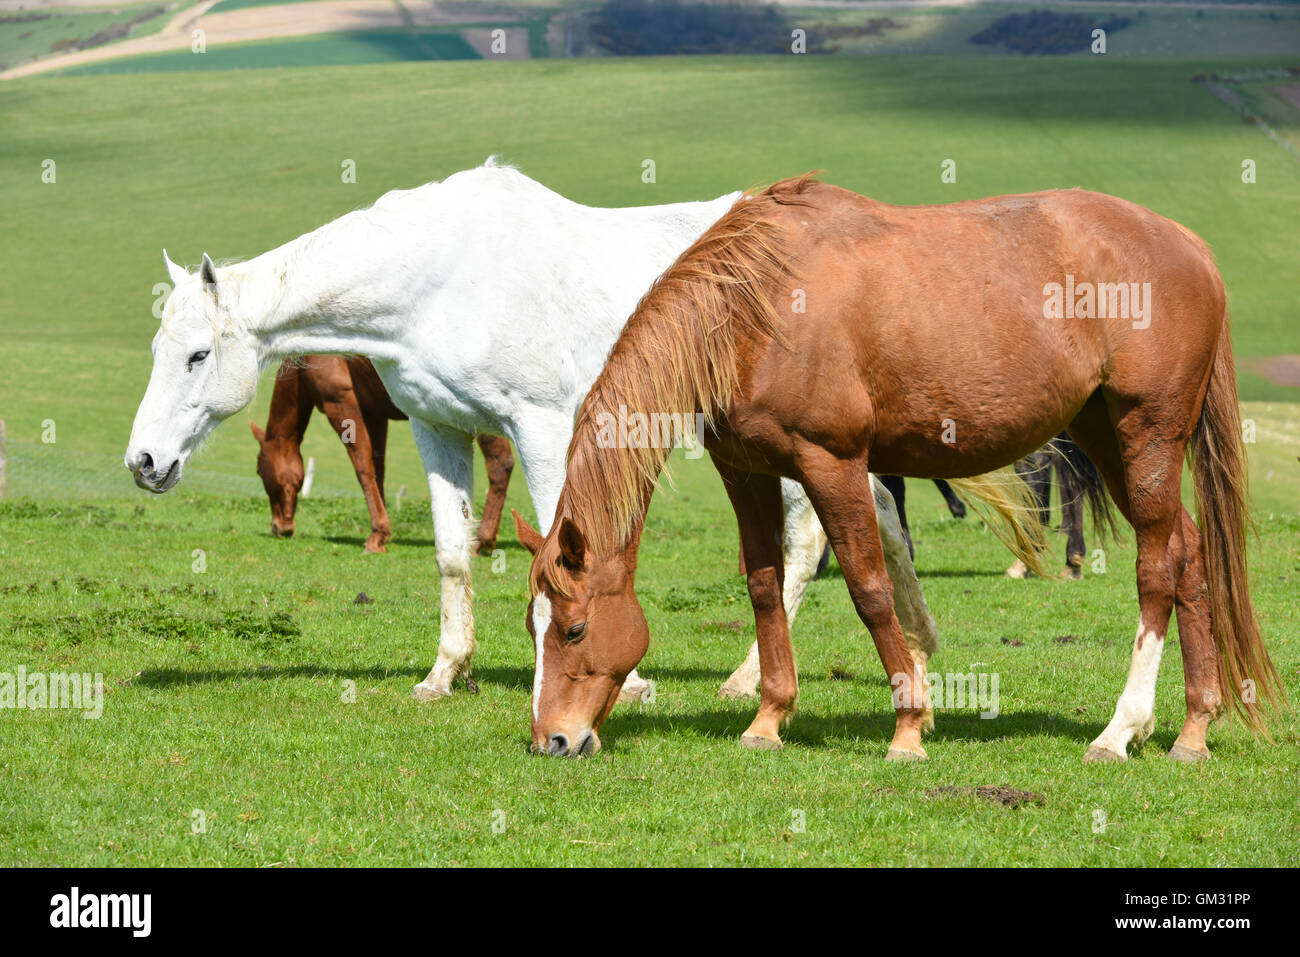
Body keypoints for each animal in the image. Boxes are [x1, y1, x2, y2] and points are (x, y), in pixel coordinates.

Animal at [251, 355, 515, 555]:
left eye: (259, 472)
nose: (279, 527)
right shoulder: (375, 415)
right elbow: (378, 471)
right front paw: (382, 530)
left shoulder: (341, 404)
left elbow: (362, 468)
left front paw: (377, 536)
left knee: (500, 464)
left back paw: (481, 540)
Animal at [518, 176, 1281, 764]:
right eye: (533, 625)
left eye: (574, 629)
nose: (553, 739)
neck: (757, 306)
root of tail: (1189, 245)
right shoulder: (745, 470)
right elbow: (765, 588)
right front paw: (769, 718)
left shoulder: (831, 463)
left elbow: (869, 587)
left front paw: (910, 725)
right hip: (1105, 437)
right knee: (1188, 554)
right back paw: (1192, 728)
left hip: (1146, 435)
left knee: (1157, 572)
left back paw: (1120, 730)